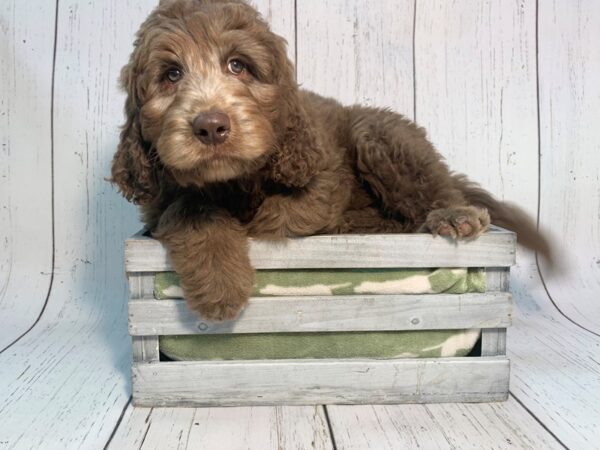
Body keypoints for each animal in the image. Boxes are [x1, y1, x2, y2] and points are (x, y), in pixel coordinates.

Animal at [110, 0, 552, 324]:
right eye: (171, 74)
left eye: (238, 65)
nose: (211, 126)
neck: (235, 181)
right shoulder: (158, 202)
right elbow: (192, 208)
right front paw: (221, 284)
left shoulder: (321, 167)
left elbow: (284, 214)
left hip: (377, 134)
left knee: (432, 189)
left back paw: (451, 214)